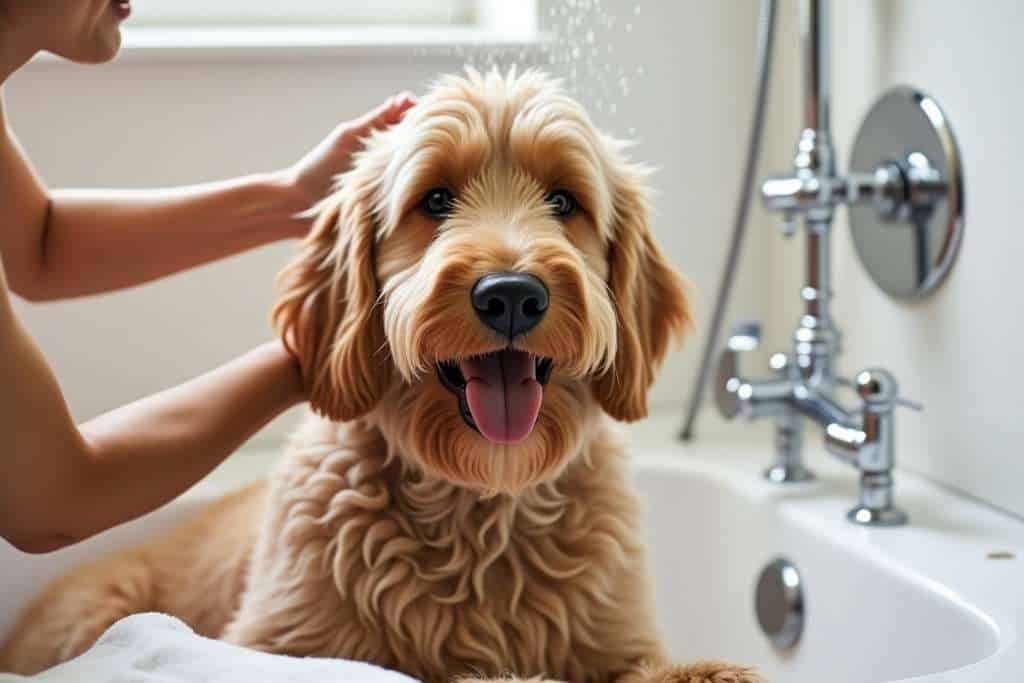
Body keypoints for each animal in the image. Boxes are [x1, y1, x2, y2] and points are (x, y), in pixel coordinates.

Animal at [0, 69, 761, 683]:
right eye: (436, 200)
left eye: (565, 201)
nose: (512, 295)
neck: (481, 508)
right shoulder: (273, 642)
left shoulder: (619, 643)